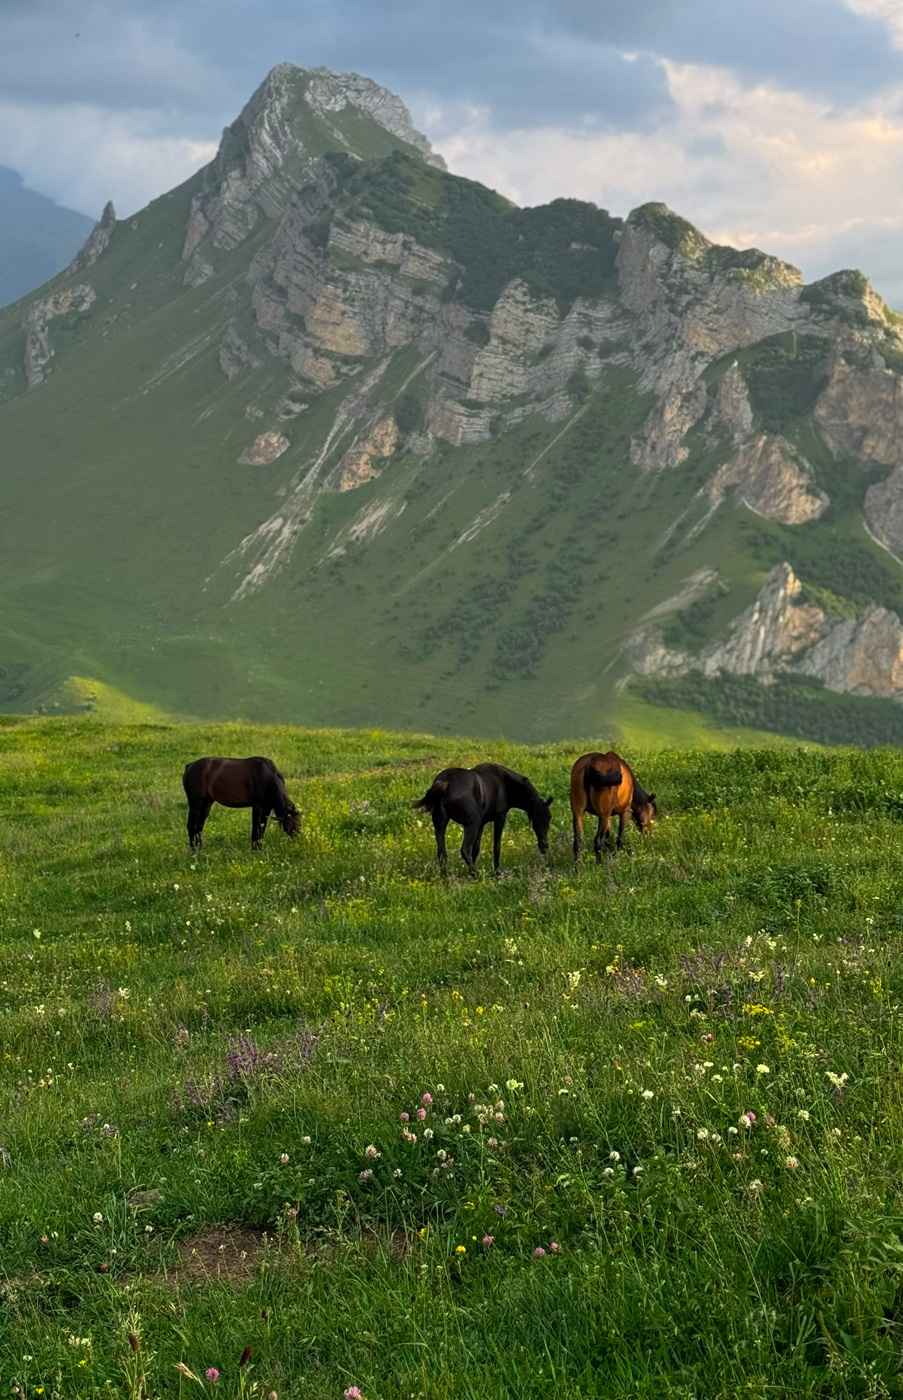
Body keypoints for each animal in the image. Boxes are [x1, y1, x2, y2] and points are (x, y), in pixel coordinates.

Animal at [412, 763, 553, 877]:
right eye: (541, 817)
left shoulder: (482, 824)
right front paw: (496, 872)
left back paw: (446, 875)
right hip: (471, 824)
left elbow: (476, 848)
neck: (504, 783)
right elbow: (496, 846)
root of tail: (445, 783)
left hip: (441, 823)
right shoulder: (499, 818)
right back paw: (476, 874)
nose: (545, 846)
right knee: (464, 850)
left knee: (442, 852)